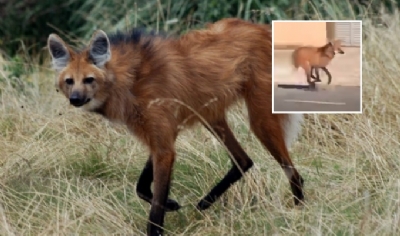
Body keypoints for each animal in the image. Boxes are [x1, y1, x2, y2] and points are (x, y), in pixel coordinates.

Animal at [46, 17, 304, 235]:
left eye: (89, 80)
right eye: (69, 81)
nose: (75, 99)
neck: (129, 81)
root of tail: (265, 30)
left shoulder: (163, 141)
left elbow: (155, 206)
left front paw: (158, 224)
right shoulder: (163, 134)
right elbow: (142, 186)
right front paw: (171, 204)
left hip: (260, 120)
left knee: (293, 173)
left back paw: (298, 212)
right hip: (210, 115)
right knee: (243, 160)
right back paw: (204, 203)